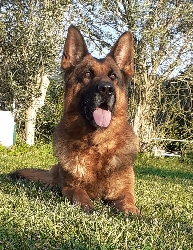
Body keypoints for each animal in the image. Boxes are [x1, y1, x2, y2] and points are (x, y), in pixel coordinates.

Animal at [9, 26, 139, 216]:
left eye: (113, 76)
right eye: (87, 74)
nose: (106, 89)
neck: (97, 145)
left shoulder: (124, 190)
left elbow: (127, 201)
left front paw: (131, 211)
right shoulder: (70, 187)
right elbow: (79, 194)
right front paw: (87, 206)